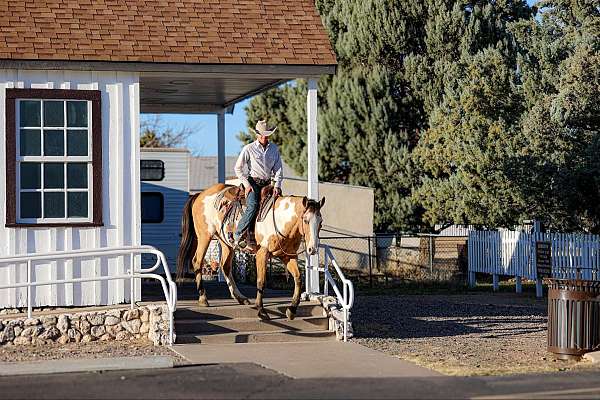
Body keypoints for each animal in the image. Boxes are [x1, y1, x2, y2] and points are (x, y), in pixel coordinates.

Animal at [175, 183, 324, 320]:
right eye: (305, 220)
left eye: (320, 222)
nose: (313, 249)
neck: (280, 219)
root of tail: (199, 195)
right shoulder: (262, 254)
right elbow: (261, 281)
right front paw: (261, 310)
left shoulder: (288, 256)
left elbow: (298, 279)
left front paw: (292, 310)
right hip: (205, 236)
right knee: (197, 261)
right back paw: (203, 298)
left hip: (225, 242)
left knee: (225, 266)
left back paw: (240, 297)